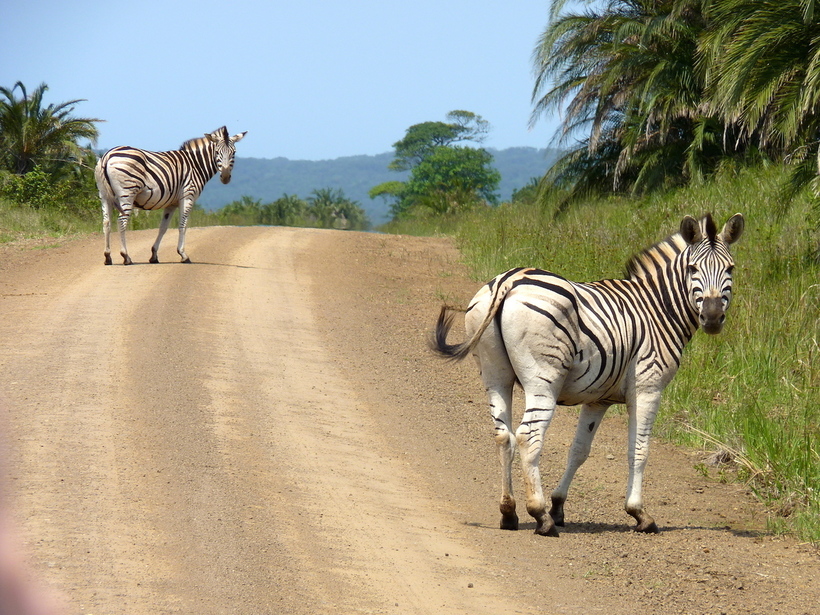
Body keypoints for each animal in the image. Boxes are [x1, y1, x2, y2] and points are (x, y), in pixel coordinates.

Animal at [94, 127, 245, 264]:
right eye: (217, 152)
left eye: (234, 153)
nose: (225, 177)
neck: (195, 164)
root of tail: (107, 156)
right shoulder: (188, 196)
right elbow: (183, 225)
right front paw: (183, 254)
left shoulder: (171, 203)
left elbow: (163, 227)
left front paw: (154, 255)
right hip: (127, 193)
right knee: (121, 221)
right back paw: (126, 256)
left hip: (104, 195)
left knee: (106, 222)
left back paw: (107, 257)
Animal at [432, 214, 748, 536]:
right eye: (692, 268)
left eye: (730, 268)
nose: (712, 318)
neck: (657, 309)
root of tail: (509, 279)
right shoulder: (648, 387)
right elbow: (639, 449)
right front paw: (638, 513)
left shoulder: (598, 398)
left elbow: (579, 450)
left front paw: (558, 506)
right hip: (543, 378)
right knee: (527, 436)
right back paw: (540, 516)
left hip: (495, 375)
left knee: (502, 435)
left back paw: (509, 513)